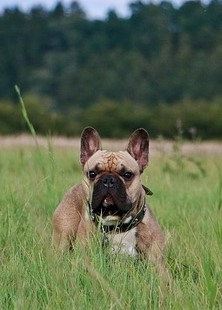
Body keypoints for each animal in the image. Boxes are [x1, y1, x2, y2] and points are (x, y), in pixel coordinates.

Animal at [53, 128, 166, 268]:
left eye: (127, 174)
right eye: (92, 173)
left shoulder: (158, 265)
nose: (108, 180)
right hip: (63, 234)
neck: (116, 225)